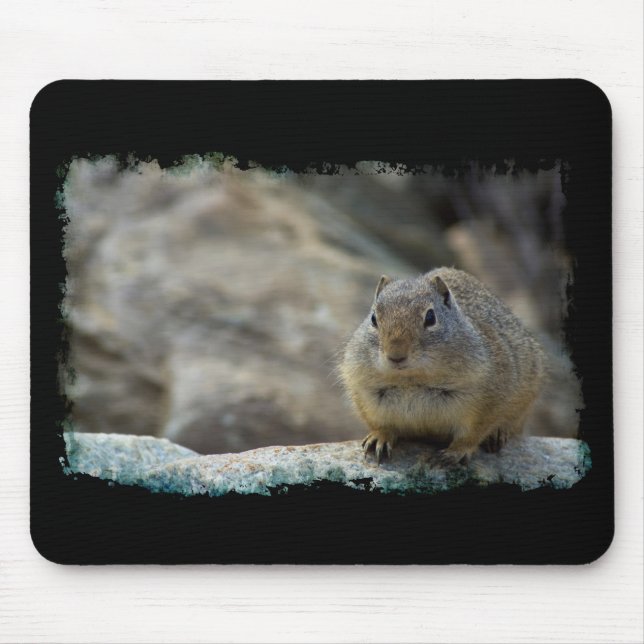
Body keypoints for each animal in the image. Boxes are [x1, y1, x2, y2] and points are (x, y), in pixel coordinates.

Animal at [339, 267, 545, 467]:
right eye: (373, 318)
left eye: (430, 317)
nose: (396, 355)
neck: (410, 381)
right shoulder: (364, 393)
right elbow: (380, 424)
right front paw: (379, 439)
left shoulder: (489, 399)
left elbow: (473, 433)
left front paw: (454, 453)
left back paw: (498, 434)